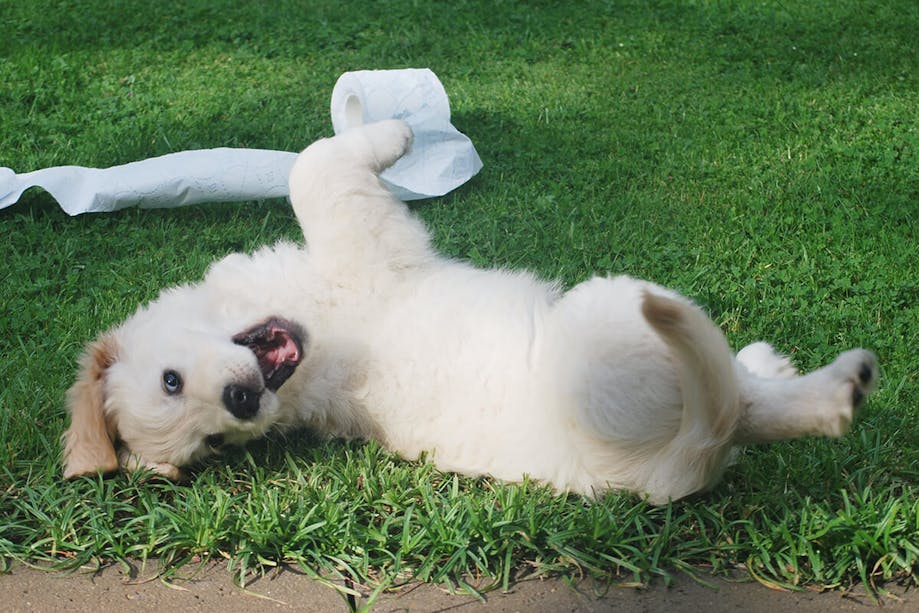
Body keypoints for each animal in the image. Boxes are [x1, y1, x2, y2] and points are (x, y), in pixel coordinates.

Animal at [61, 119, 880, 502]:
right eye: (214, 442)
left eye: (171, 381)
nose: (241, 405)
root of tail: (669, 469)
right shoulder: (361, 236)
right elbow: (313, 167)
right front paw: (395, 134)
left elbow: (312, 163)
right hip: (616, 318)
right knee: (743, 403)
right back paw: (836, 388)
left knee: (745, 397)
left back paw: (776, 364)